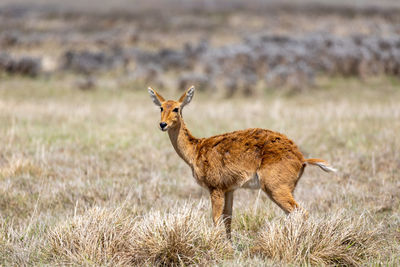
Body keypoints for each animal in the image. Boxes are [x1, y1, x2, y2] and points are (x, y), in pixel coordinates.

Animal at [147, 86, 334, 239]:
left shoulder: (215, 189)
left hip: (276, 189)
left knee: (301, 212)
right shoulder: (229, 189)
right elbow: (228, 218)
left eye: (176, 108)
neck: (196, 150)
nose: (162, 124)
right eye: (161, 107)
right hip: (287, 189)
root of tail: (302, 158)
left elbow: (215, 218)